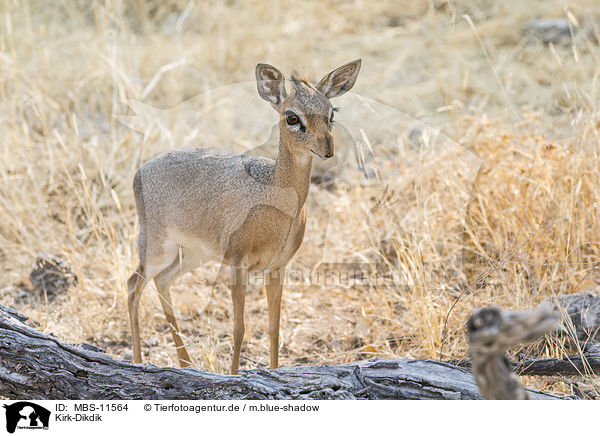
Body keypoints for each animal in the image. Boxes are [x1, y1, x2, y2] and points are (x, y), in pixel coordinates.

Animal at [126, 59, 360, 374]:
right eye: (292, 117)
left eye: (331, 113)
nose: (328, 149)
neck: (273, 195)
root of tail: (140, 171)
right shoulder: (237, 265)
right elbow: (239, 330)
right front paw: (234, 375)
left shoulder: (277, 268)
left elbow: (274, 328)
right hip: (156, 248)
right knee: (133, 287)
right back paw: (139, 362)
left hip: (192, 254)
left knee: (162, 281)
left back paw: (186, 362)